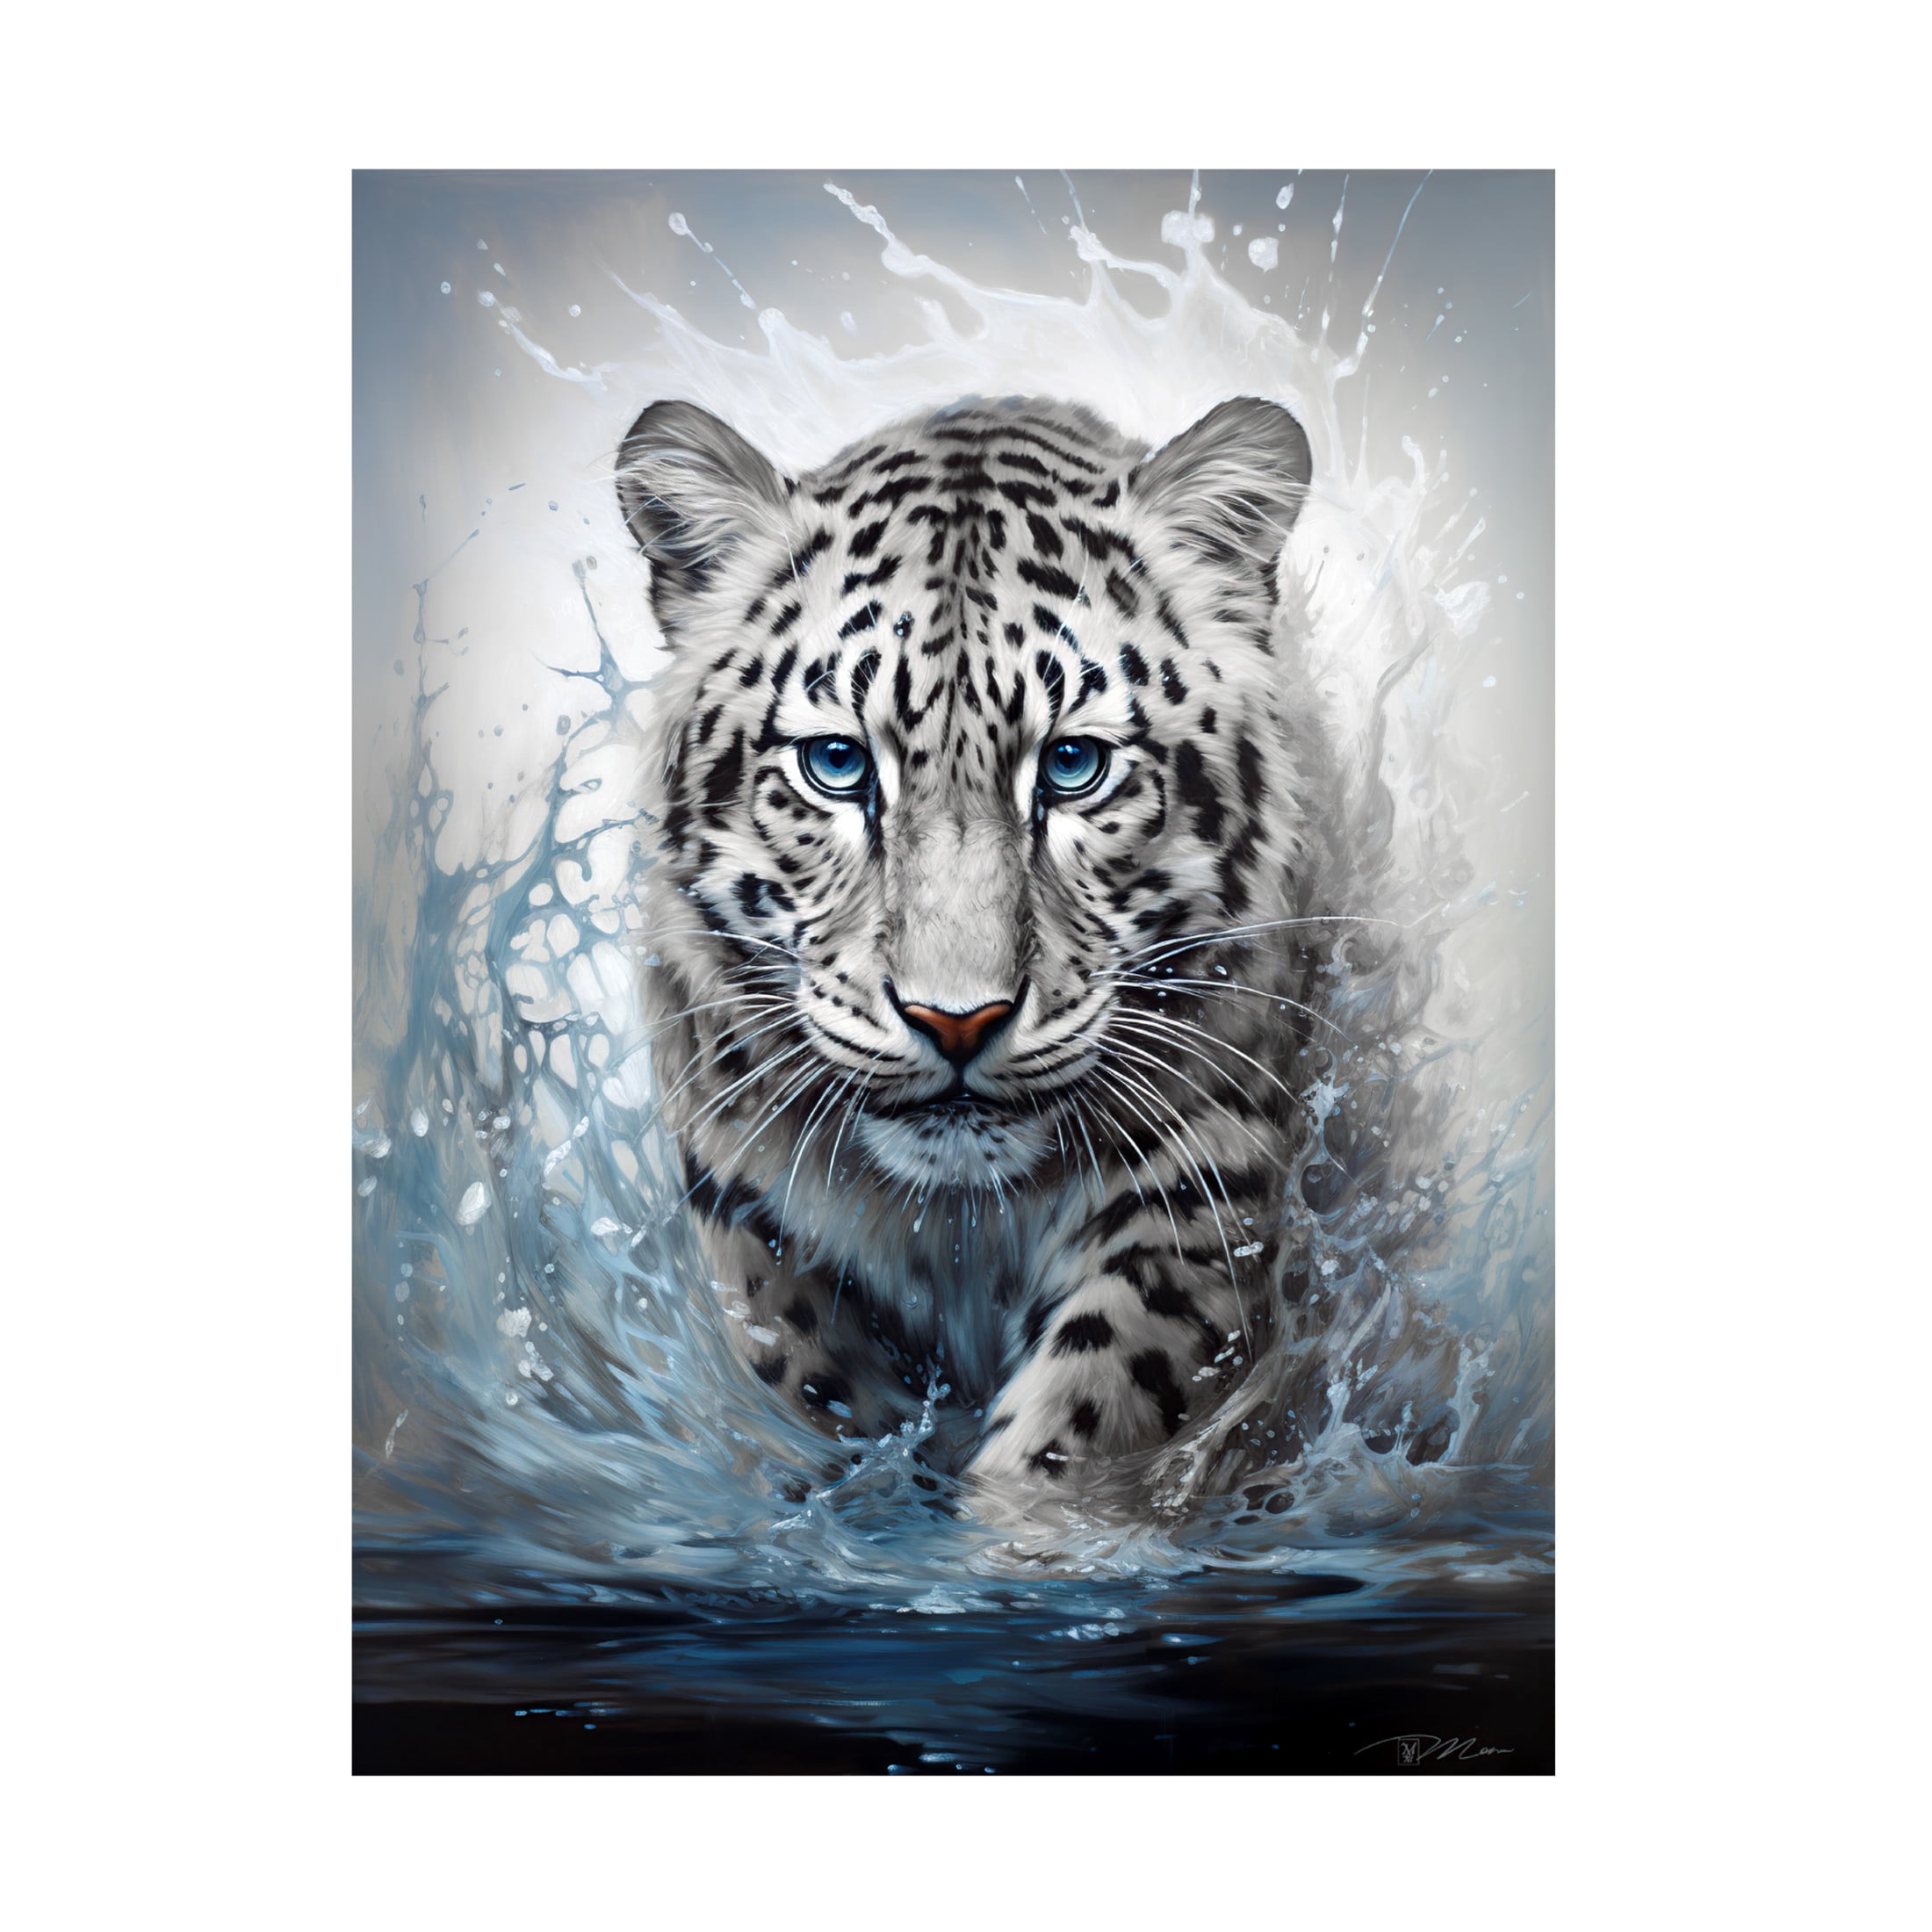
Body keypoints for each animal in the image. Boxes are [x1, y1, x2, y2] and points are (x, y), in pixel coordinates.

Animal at [615, 390, 1337, 1507]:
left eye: (1074, 765)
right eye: (836, 764)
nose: (956, 1022)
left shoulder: (1205, 1167)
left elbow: (1098, 1397)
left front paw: (1027, 1527)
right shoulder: (744, 1193)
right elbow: (809, 1381)